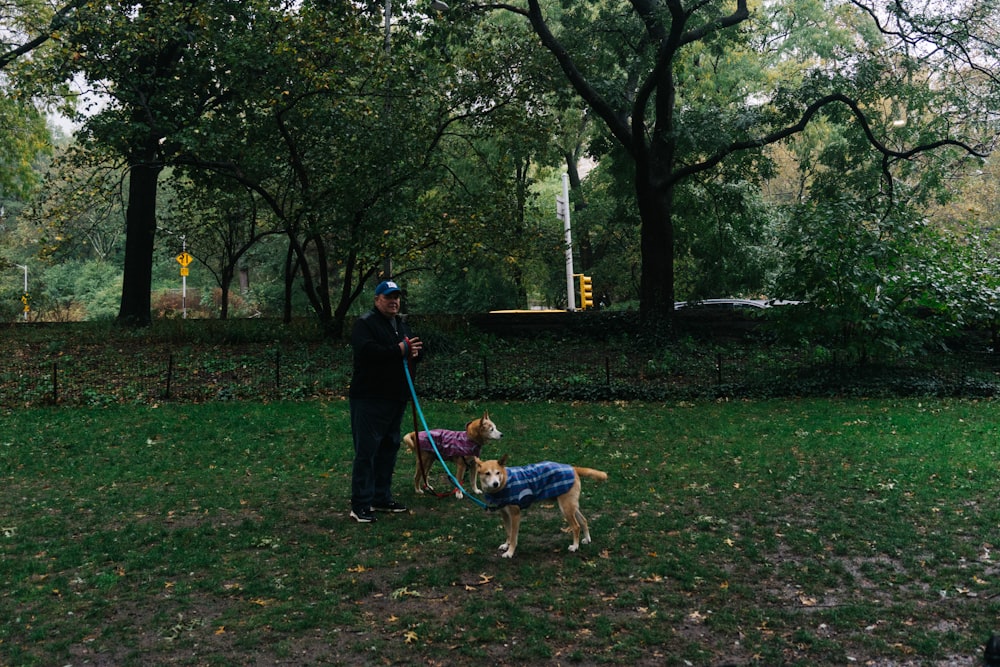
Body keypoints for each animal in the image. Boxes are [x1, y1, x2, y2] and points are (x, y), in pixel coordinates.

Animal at [476, 454, 608, 560]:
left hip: (565, 508)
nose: (495, 483)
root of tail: (572, 468)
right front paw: (506, 545)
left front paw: (510, 552)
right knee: (584, 520)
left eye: (497, 472)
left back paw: (575, 546)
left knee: (576, 526)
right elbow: (508, 532)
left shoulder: (515, 514)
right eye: (487, 473)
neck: (504, 482)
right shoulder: (504, 513)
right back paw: (587, 539)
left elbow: (513, 536)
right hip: (571, 506)